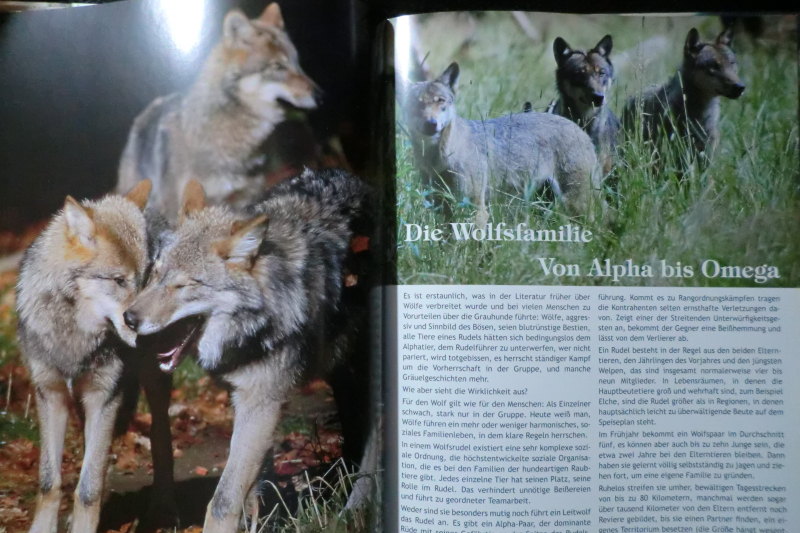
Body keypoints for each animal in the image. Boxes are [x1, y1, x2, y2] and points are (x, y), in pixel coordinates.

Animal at [16, 181, 177, 533]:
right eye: (118, 281)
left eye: (145, 280)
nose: (146, 329)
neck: (75, 337)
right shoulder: (51, 396)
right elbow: (49, 481)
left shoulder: (104, 398)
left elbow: (89, 488)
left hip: (153, 384)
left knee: (161, 436)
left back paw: (164, 510)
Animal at [122, 169, 373, 533]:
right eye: (154, 275)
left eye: (182, 286)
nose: (128, 318)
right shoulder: (245, 400)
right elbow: (252, 488)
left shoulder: (262, 401)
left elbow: (224, 500)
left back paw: (355, 508)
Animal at [401, 62, 599, 225]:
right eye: (415, 104)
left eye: (440, 101)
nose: (431, 123)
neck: (437, 158)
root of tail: (578, 127)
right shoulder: (442, 209)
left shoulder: (477, 210)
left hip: (576, 205)